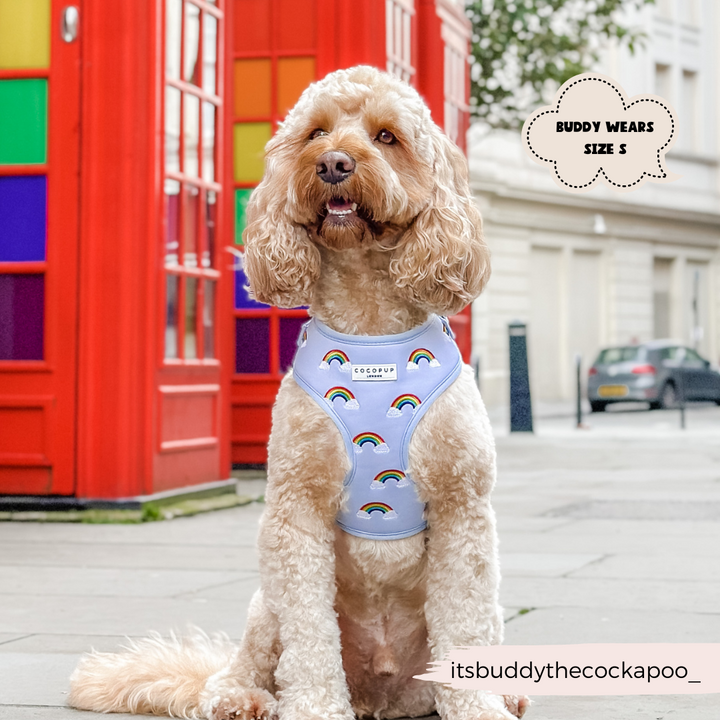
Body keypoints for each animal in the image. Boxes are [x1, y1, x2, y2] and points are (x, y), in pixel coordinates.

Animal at [70, 67, 524, 720]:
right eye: (315, 132)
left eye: (387, 136)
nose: (333, 163)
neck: (369, 326)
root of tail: (381, 696)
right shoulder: (295, 510)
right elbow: (309, 638)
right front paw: (312, 708)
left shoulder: (463, 509)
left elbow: (463, 626)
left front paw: (478, 708)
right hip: (266, 604)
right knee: (235, 672)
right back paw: (245, 700)